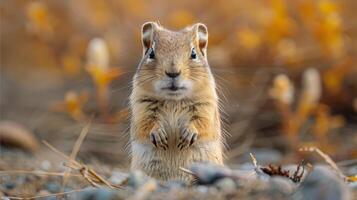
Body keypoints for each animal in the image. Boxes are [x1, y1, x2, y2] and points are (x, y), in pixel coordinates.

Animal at [128, 21, 222, 181]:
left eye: (193, 54)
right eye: (151, 53)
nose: (173, 73)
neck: (173, 99)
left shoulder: (206, 106)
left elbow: (202, 123)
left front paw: (188, 133)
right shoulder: (142, 107)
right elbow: (146, 124)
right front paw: (158, 134)